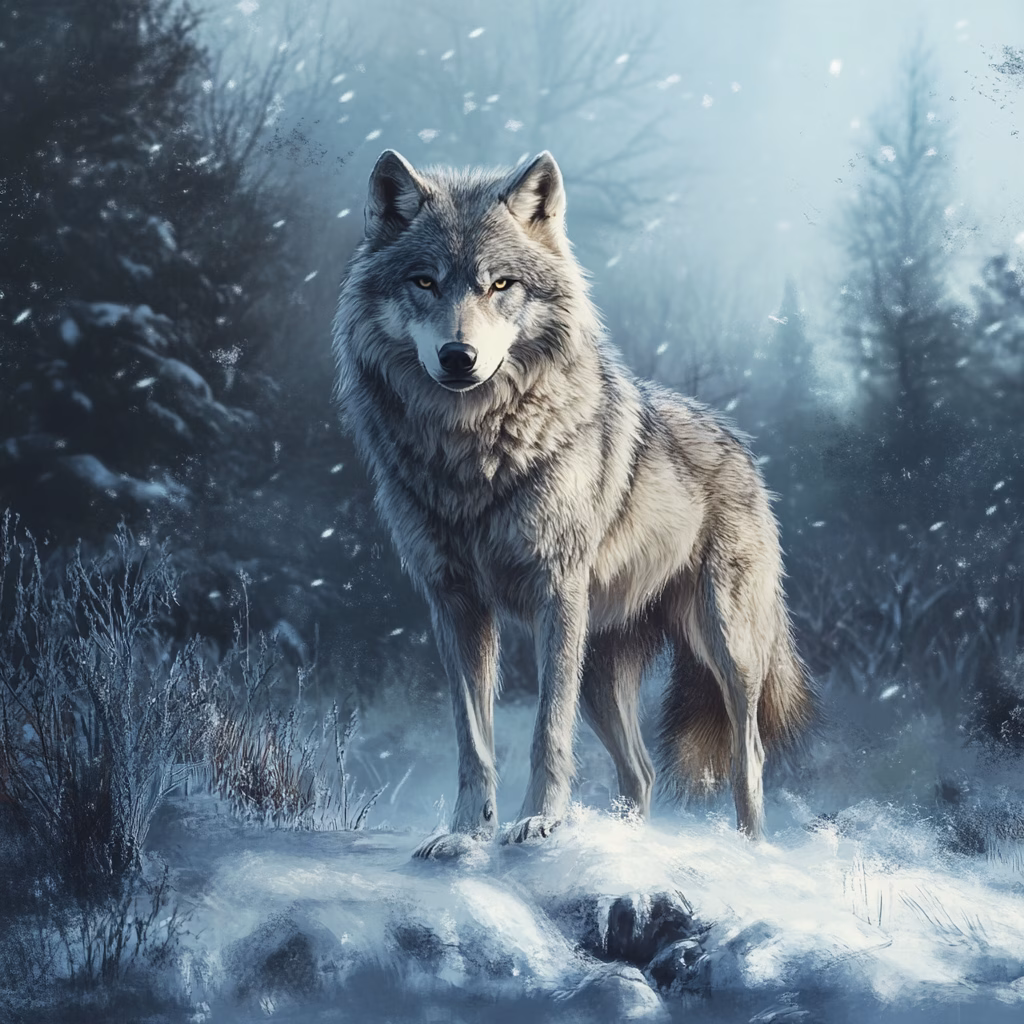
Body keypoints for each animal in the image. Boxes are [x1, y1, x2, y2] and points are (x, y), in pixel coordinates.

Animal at [333, 149, 813, 854]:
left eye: (501, 285)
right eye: (424, 282)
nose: (458, 356)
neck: (472, 453)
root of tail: (741, 444)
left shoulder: (556, 592)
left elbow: (545, 732)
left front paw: (539, 821)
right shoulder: (453, 603)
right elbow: (472, 740)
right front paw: (465, 835)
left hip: (725, 645)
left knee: (747, 756)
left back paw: (752, 851)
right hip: (599, 670)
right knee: (640, 771)